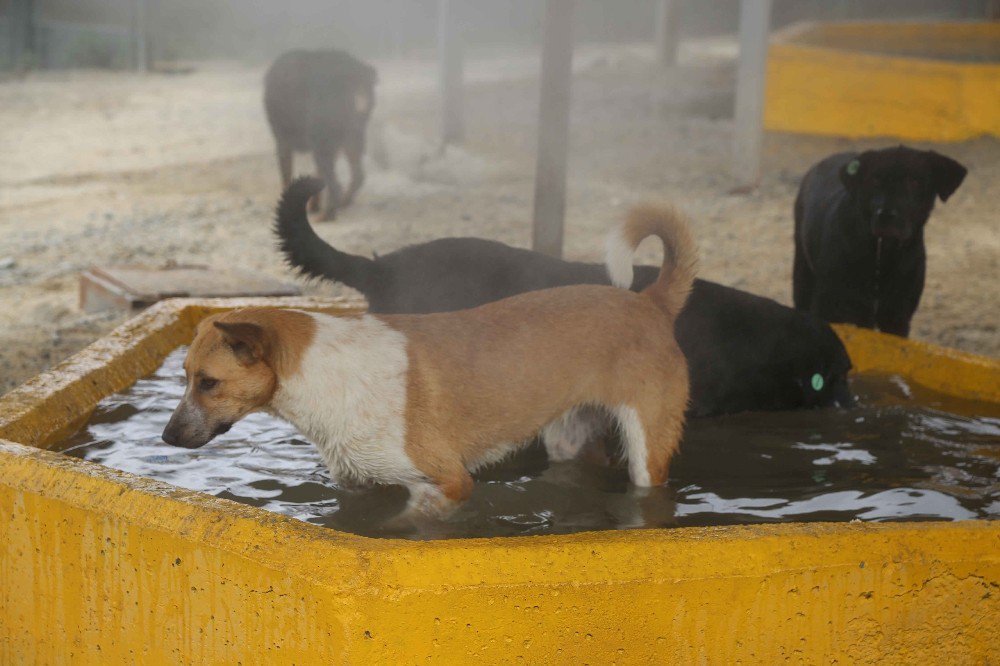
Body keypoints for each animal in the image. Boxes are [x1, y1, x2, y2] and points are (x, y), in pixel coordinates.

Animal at [162, 205, 696, 516]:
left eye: (208, 383)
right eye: (183, 377)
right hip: (567, 436)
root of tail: (649, 302)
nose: (166, 437)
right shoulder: (358, 484)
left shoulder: (448, 482)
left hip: (648, 448)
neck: (324, 374)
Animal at [264, 50, 376, 220]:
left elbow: (286, 174)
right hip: (353, 135)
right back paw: (341, 204)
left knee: (336, 184)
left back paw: (327, 215)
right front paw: (313, 205)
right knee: (357, 175)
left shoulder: (283, 139)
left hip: (323, 140)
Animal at [792, 143, 964, 334]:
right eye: (874, 180)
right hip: (802, 279)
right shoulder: (827, 308)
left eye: (914, 182)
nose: (886, 215)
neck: (881, 256)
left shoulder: (897, 316)